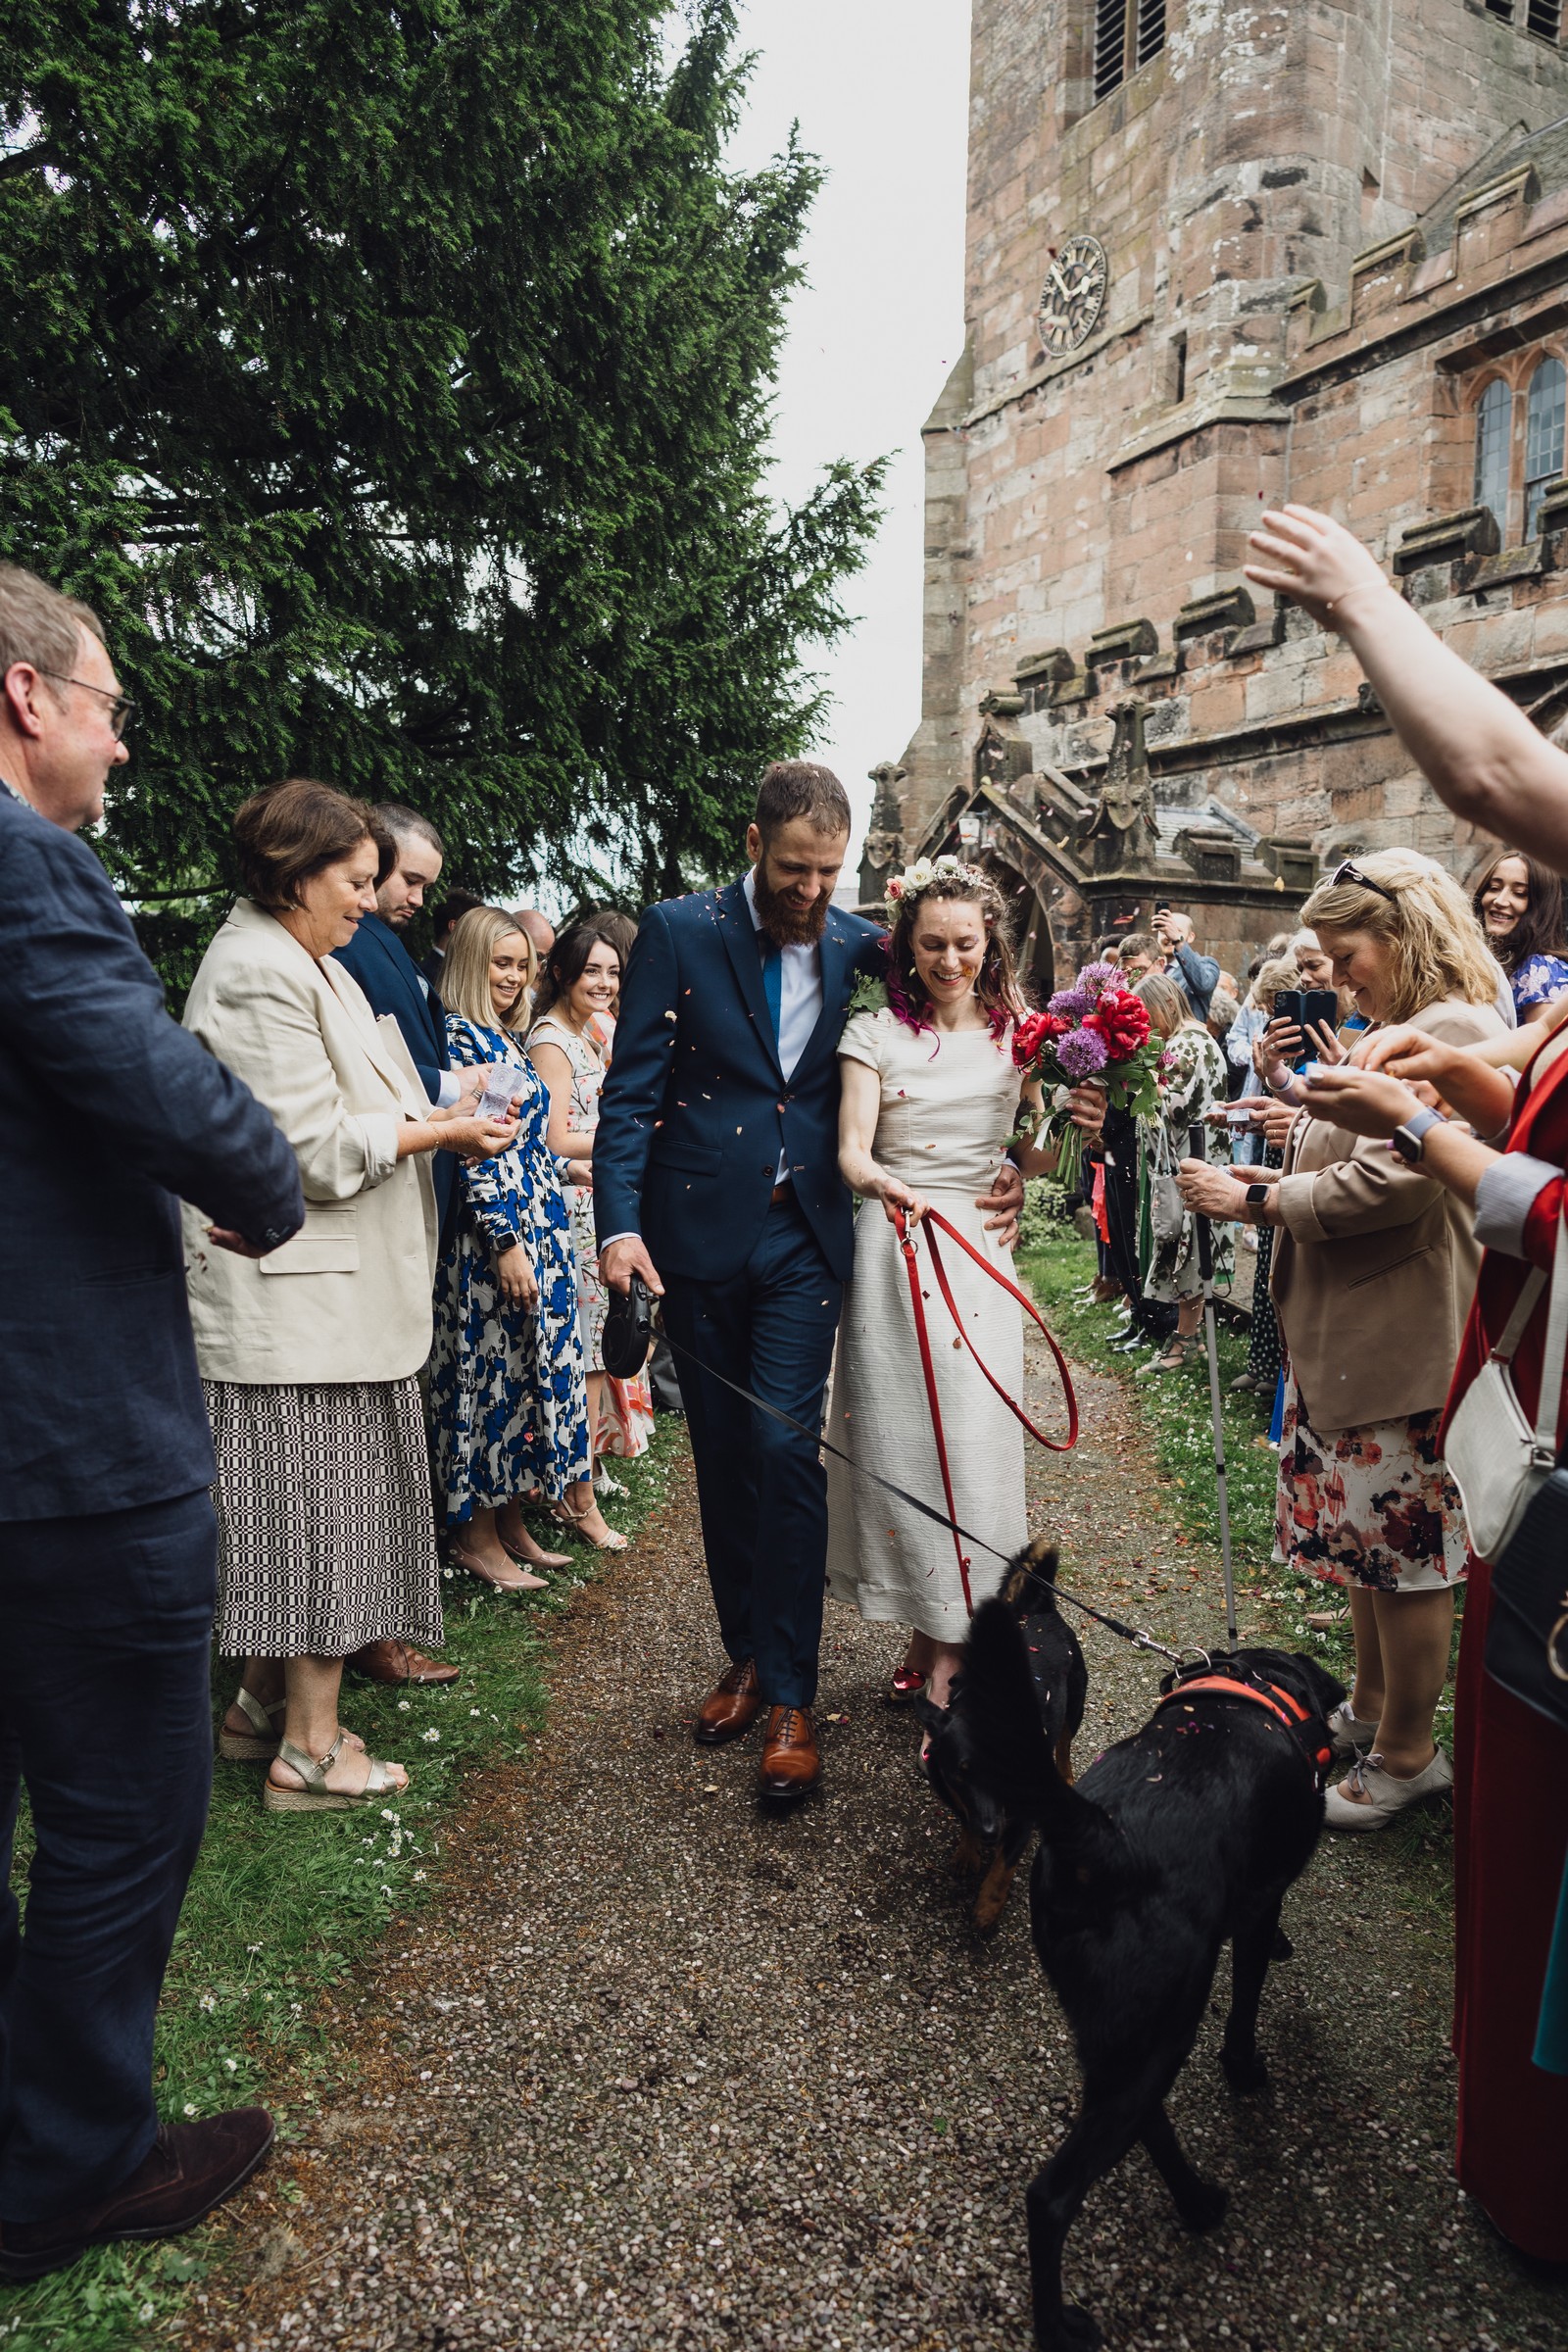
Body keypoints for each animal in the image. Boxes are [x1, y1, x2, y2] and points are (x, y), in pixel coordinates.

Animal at [911, 1533, 1086, 1937]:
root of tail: (1041, 1611)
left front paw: (988, 1906)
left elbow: (1004, 1864)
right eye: (961, 1773)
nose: (991, 1830)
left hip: (1074, 1706)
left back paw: (1065, 1773)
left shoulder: (1021, 1819)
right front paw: (968, 1850)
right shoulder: (954, 1790)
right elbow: (966, 1819)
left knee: (1064, 1744)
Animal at [963, 1599, 1345, 2352]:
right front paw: (1245, 2068)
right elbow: (1248, 1998)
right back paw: (1060, 2323)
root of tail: (1105, 1841)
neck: (1261, 1686)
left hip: (1134, 2036)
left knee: (1145, 2121)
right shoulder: (1258, 1903)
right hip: (1160, 2028)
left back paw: (1196, 2201)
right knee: (1052, 2196)